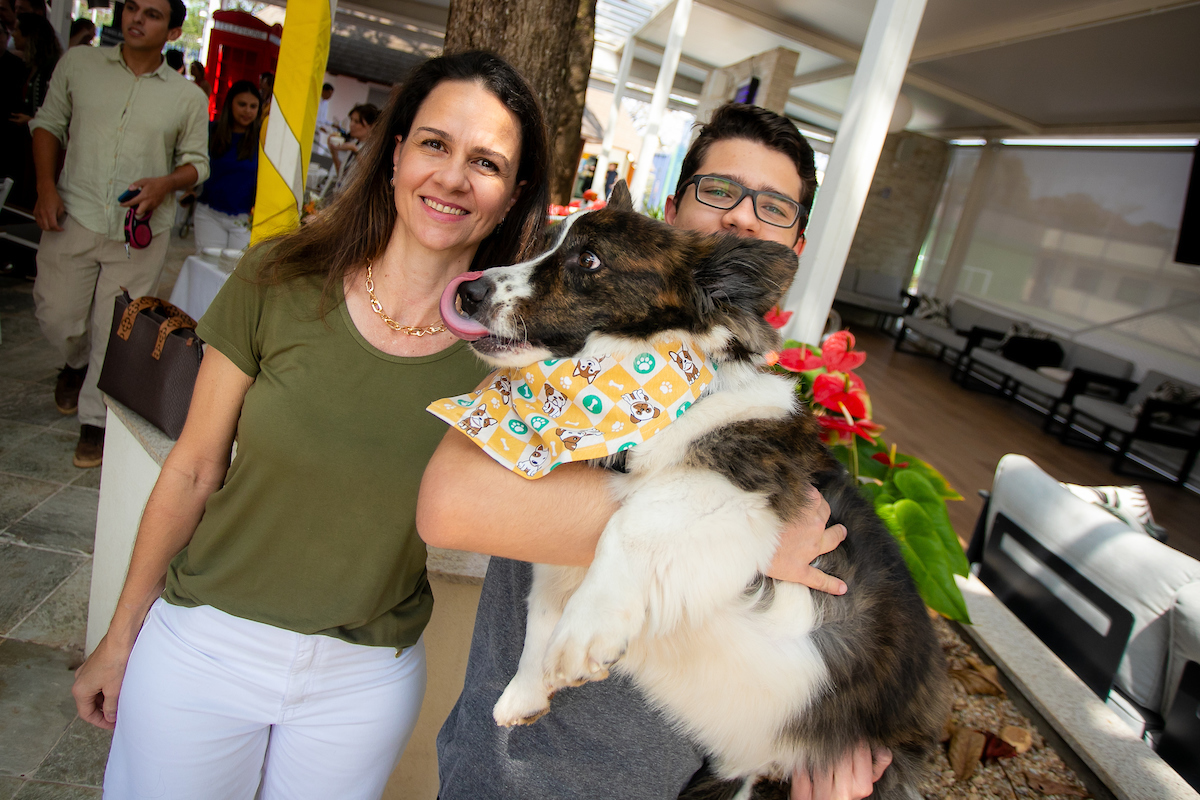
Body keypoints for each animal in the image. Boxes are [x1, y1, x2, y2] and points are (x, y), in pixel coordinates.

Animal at [436, 183, 950, 800]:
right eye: (547, 243)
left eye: (589, 260)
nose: (467, 291)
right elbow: (541, 606)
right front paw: (527, 688)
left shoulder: (734, 490)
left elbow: (627, 528)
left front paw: (581, 636)